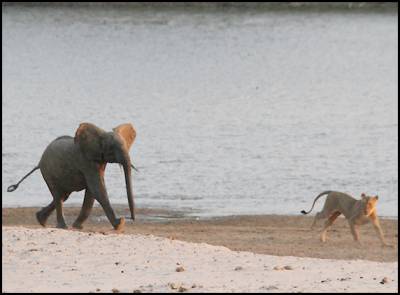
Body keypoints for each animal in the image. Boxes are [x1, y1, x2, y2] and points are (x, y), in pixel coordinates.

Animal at [7, 122, 138, 231]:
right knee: (58, 195)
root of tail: (39, 163)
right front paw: (120, 224)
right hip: (49, 172)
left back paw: (41, 220)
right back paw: (62, 226)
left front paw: (78, 227)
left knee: (63, 196)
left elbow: (92, 191)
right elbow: (97, 188)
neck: (101, 134)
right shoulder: (85, 160)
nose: (131, 218)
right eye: (111, 148)